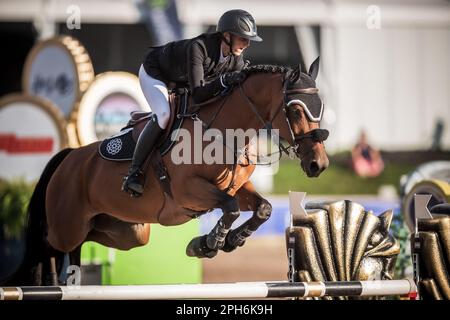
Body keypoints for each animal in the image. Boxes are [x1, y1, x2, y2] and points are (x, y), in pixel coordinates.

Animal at [7, 59, 330, 284]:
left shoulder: (237, 188)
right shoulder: (189, 191)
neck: (224, 131)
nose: (319, 164)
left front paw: (229, 240)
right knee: (46, 243)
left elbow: (262, 209)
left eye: (320, 107)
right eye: (296, 110)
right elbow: (231, 208)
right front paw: (208, 244)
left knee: (84, 242)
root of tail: (70, 156)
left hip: (128, 233)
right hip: (67, 226)